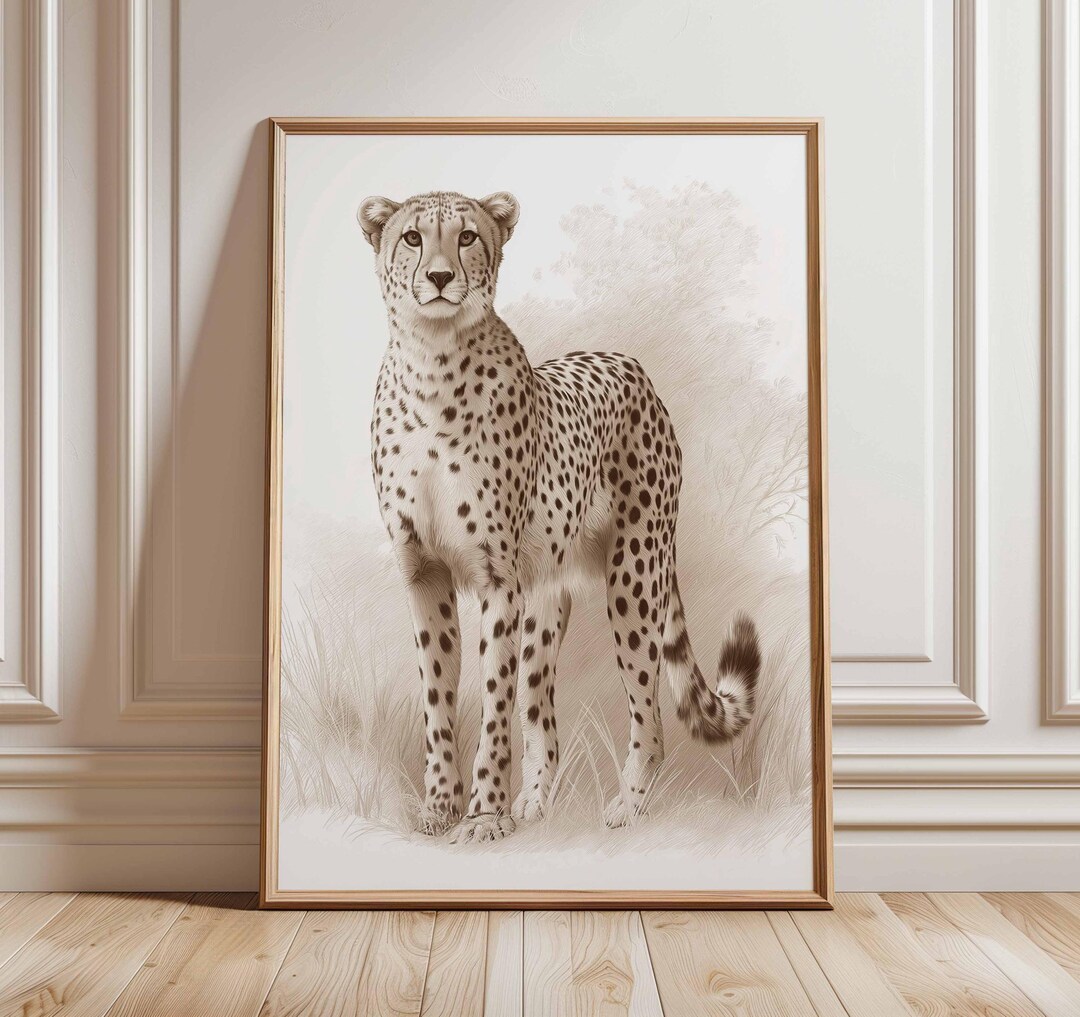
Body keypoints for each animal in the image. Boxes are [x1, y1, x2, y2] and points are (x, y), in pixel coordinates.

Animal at [358, 189, 761, 845]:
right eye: (413, 238)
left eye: (468, 236)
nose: (440, 278)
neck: (432, 365)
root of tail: (633, 366)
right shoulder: (425, 574)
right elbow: (439, 698)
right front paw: (440, 808)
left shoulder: (497, 582)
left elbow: (493, 705)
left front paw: (483, 815)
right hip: (546, 597)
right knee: (543, 718)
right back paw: (535, 803)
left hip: (634, 577)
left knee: (648, 715)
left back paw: (627, 807)